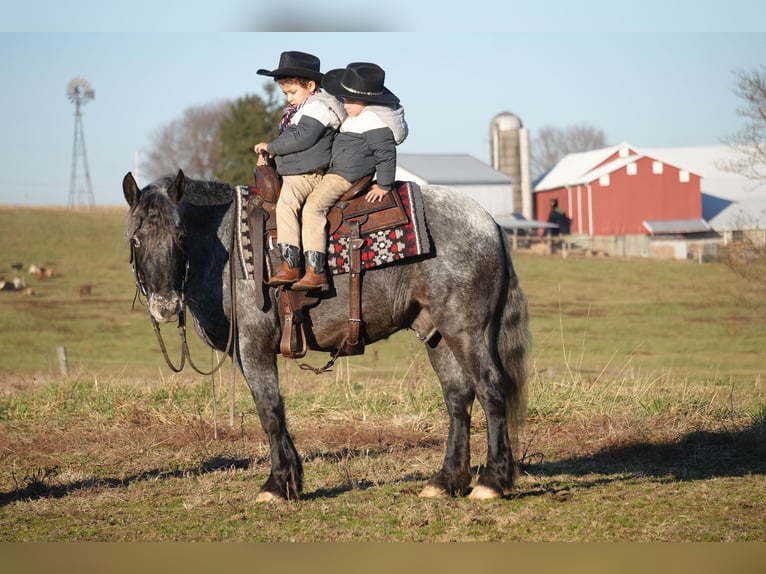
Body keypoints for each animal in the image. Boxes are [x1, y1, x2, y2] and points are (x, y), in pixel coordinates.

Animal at [123, 169, 529, 501]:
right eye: (136, 239)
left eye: (180, 236)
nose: (165, 305)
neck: (227, 249)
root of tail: (490, 223)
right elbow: (273, 409)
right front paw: (291, 481)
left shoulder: (253, 346)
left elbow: (269, 410)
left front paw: (277, 484)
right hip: (438, 335)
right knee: (458, 398)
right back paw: (447, 481)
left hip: (464, 330)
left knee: (491, 389)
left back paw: (492, 481)